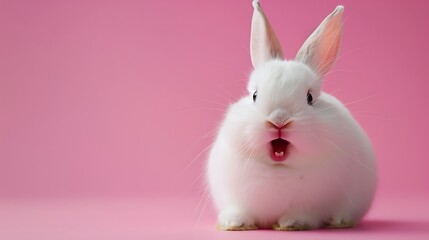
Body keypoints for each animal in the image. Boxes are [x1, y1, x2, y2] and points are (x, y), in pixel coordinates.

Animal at [206, 0, 376, 232]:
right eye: (255, 95)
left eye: (310, 97)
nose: (279, 120)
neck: (279, 168)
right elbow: (240, 211)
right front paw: (235, 222)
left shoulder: (313, 205)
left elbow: (304, 215)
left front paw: (291, 223)